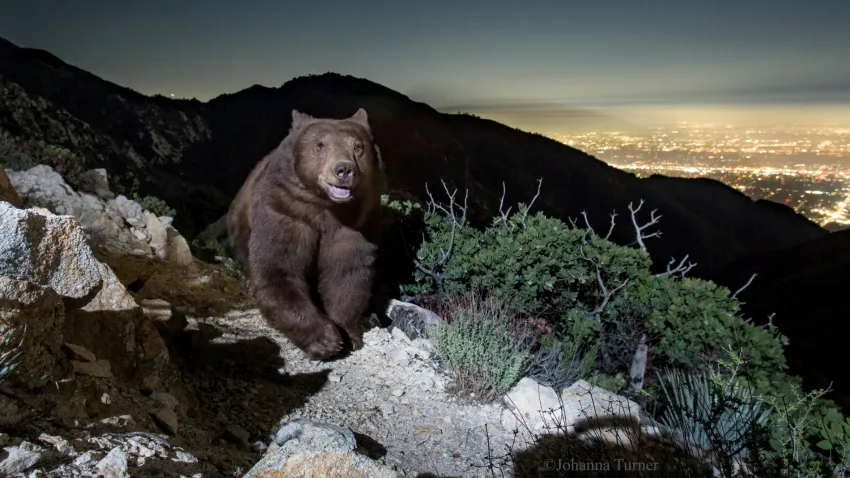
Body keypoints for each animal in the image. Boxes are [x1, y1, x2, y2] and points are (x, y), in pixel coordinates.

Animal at [226, 108, 386, 360]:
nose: (344, 169)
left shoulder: (356, 225)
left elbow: (347, 273)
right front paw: (326, 340)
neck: (326, 208)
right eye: (320, 145)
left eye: (358, 147)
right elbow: (279, 269)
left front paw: (350, 332)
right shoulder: (286, 211)